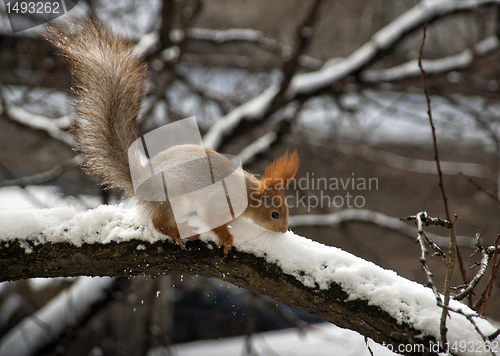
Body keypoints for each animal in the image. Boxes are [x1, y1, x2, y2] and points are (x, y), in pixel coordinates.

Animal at [45, 19, 298, 253]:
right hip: (171, 199)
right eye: (275, 214)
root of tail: (141, 182)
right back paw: (179, 232)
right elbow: (214, 223)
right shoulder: (216, 204)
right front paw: (226, 237)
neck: (245, 193)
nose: (284, 229)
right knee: (159, 223)